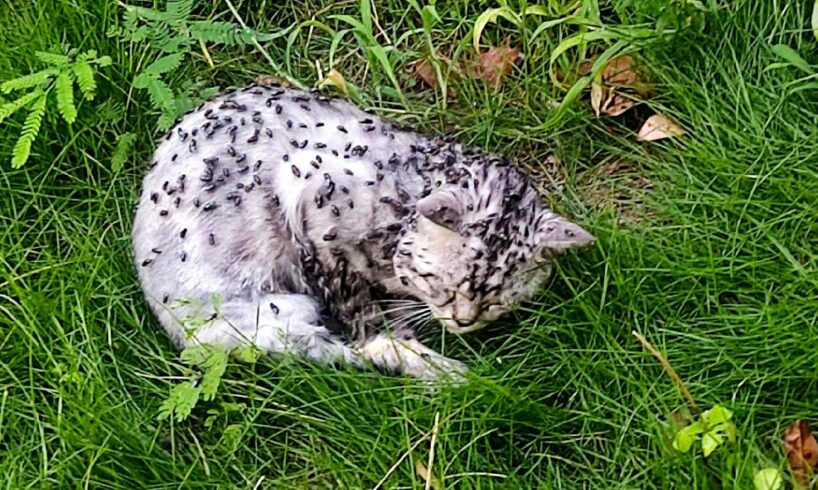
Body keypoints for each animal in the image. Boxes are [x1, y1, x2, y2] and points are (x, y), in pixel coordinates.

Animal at [132, 81, 592, 378]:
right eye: (446, 287)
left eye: (497, 301)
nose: (464, 322)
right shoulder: (310, 209)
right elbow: (361, 318)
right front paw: (410, 345)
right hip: (265, 313)